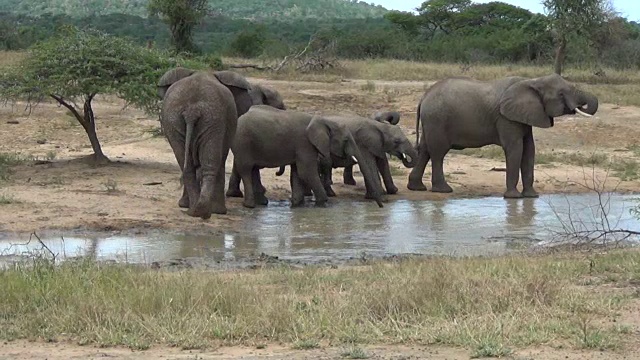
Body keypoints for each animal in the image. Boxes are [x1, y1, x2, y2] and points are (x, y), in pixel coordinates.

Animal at [161, 69, 254, 218]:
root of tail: (192, 110)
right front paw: (219, 212)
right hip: (212, 119)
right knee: (212, 163)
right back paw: (208, 211)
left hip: (177, 121)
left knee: (188, 165)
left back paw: (194, 211)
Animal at [231, 105, 384, 208]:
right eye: (346, 140)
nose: (381, 206)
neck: (323, 121)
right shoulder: (304, 143)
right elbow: (306, 172)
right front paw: (322, 202)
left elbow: (298, 173)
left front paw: (297, 204)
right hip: (243, 142)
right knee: (246, 169)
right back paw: (250, 205)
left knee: (253, 169)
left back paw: (261, 203)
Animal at [408, 72, 596, 197]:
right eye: (561, 94)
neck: (532, 81)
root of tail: (423, 97)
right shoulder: (505, 117)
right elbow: (515, 148)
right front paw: (513, 197)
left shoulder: (523, 116)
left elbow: (529, 150)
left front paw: (531, 197)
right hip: (437, 119)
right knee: (438, 152)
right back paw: (444, 190)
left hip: (432, 121)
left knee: (425, 149)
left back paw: (416, 188)